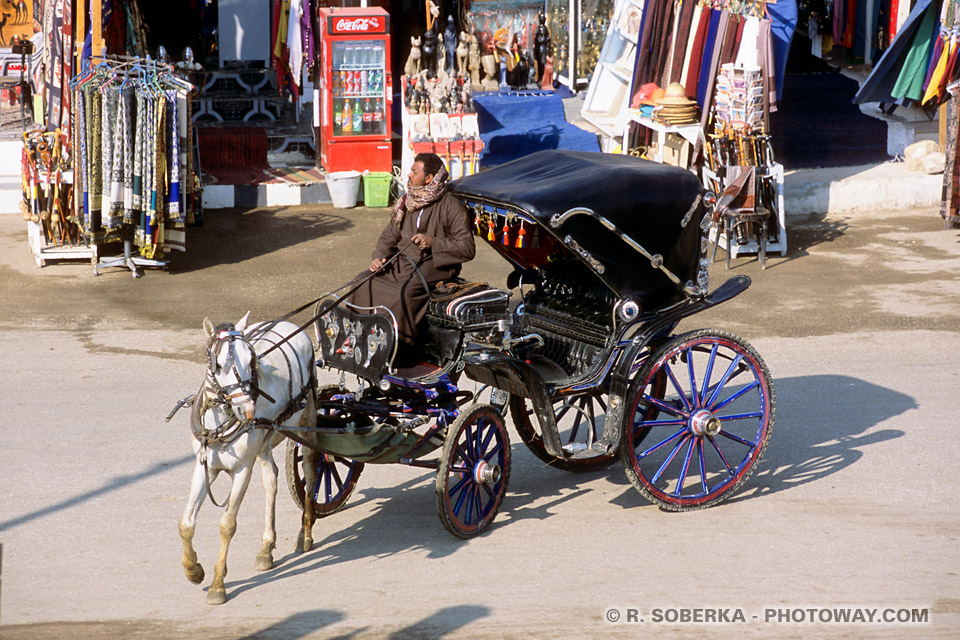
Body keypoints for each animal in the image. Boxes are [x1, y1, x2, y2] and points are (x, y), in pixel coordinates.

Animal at [175, 316, 318, 604]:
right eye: (219, 364)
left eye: (250, 359)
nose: (248, 409)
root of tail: (288, 324)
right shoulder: (204, 466)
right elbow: (186, 523)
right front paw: (193, 570)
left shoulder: (242, 469)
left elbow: (227, 525)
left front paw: (218, 584)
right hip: (264, 441)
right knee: (271, 480)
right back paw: (266, 548)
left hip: (306, 421)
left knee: (310, 468)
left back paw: (305, 533)